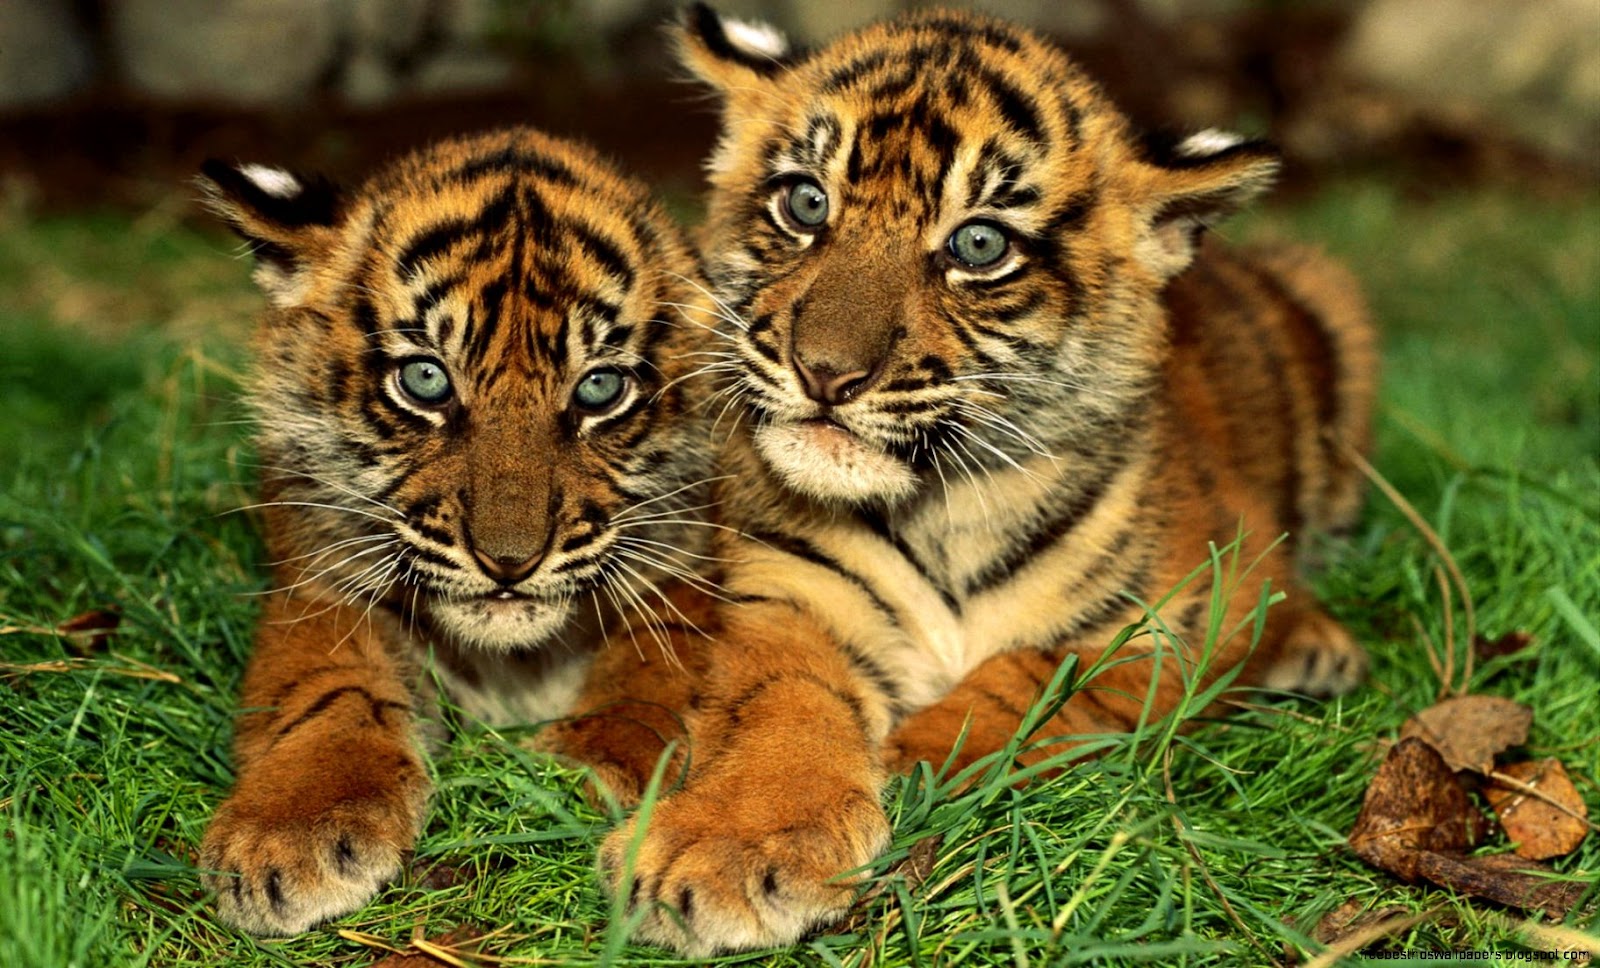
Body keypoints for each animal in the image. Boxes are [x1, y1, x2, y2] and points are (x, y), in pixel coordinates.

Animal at [196, 126, 721, 935]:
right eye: (426, 380)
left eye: (600, 388)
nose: (509, 562)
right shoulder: (319, 584)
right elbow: (327, 690)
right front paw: (289, 830)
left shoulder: (689, 574)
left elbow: (648, 679)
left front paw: (580, 768)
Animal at [591, 5, 1378, 955]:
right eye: (806, 202)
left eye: (978, 243)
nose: (825, 372)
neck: (945, 506)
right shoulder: (788, 597)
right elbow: (779, 707)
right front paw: (729, 845)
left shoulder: (1194, 604)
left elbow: (1036, 674)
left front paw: (917, 757)